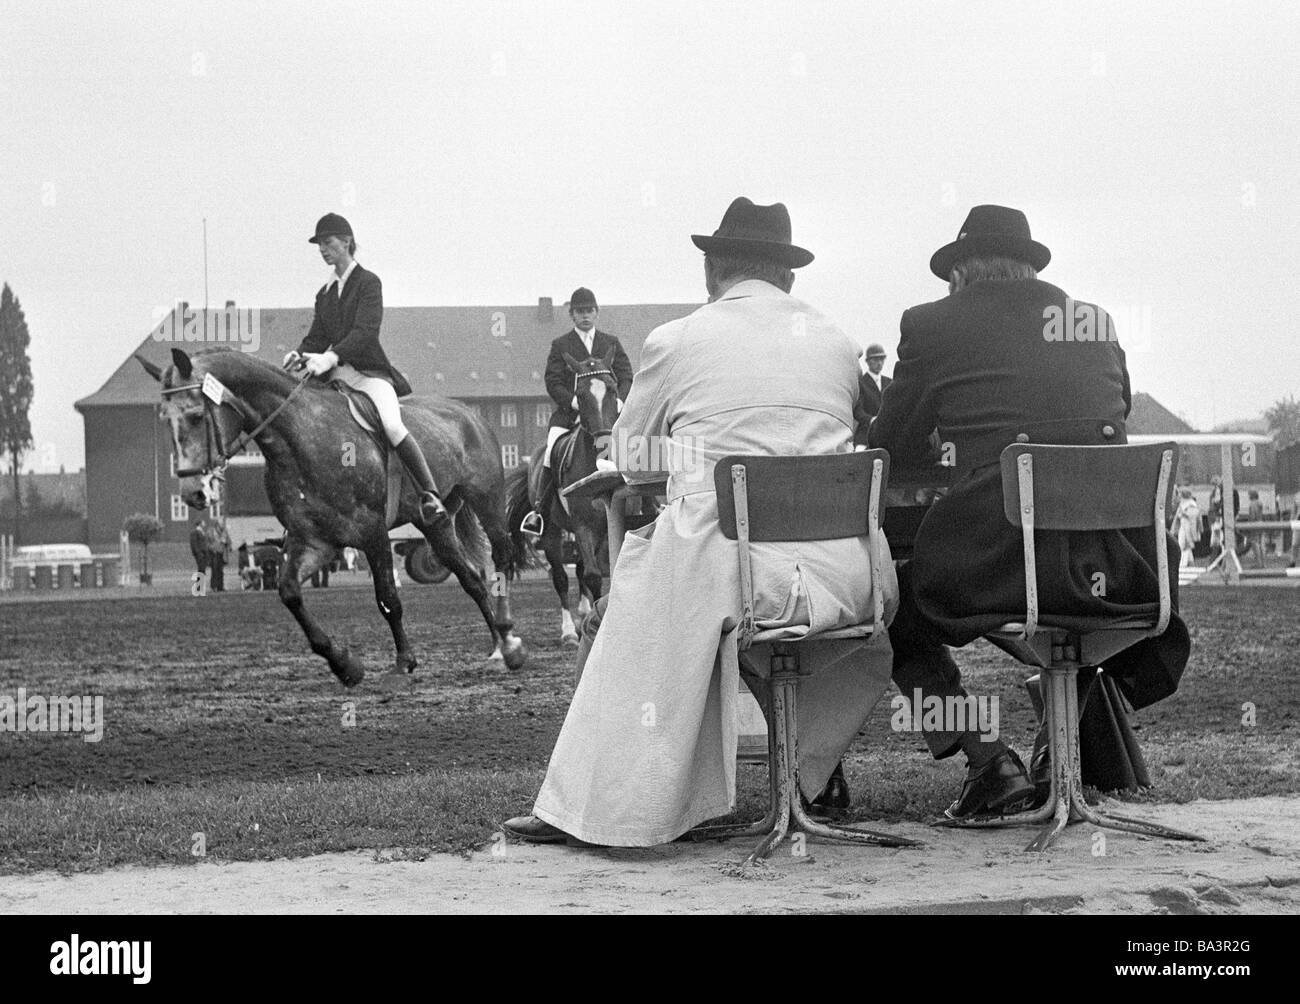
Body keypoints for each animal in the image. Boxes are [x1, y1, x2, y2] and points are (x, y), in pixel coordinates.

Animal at [139, 348, 525, 686]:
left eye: (195, 416)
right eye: (165, 420)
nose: (193, 492)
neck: (302, 440)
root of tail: (467, 412)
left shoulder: (372, 533)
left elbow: (388, 598)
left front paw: (403, 662)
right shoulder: (314, 540)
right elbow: (290, 593)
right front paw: (344, 665)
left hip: (488, 501)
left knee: (502, 557)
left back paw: (509, 639)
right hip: (434, 523)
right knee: (471, 578)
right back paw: (498, 645)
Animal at [504, 348, 621, 647]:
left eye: (613, 389)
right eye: (580, 394)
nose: (604, 443)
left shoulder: (603, 526)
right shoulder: (582, 524)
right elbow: (593, 575)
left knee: (578, 570)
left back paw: (582, 616)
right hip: (553, 532)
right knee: (560, 576)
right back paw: (569, 630)